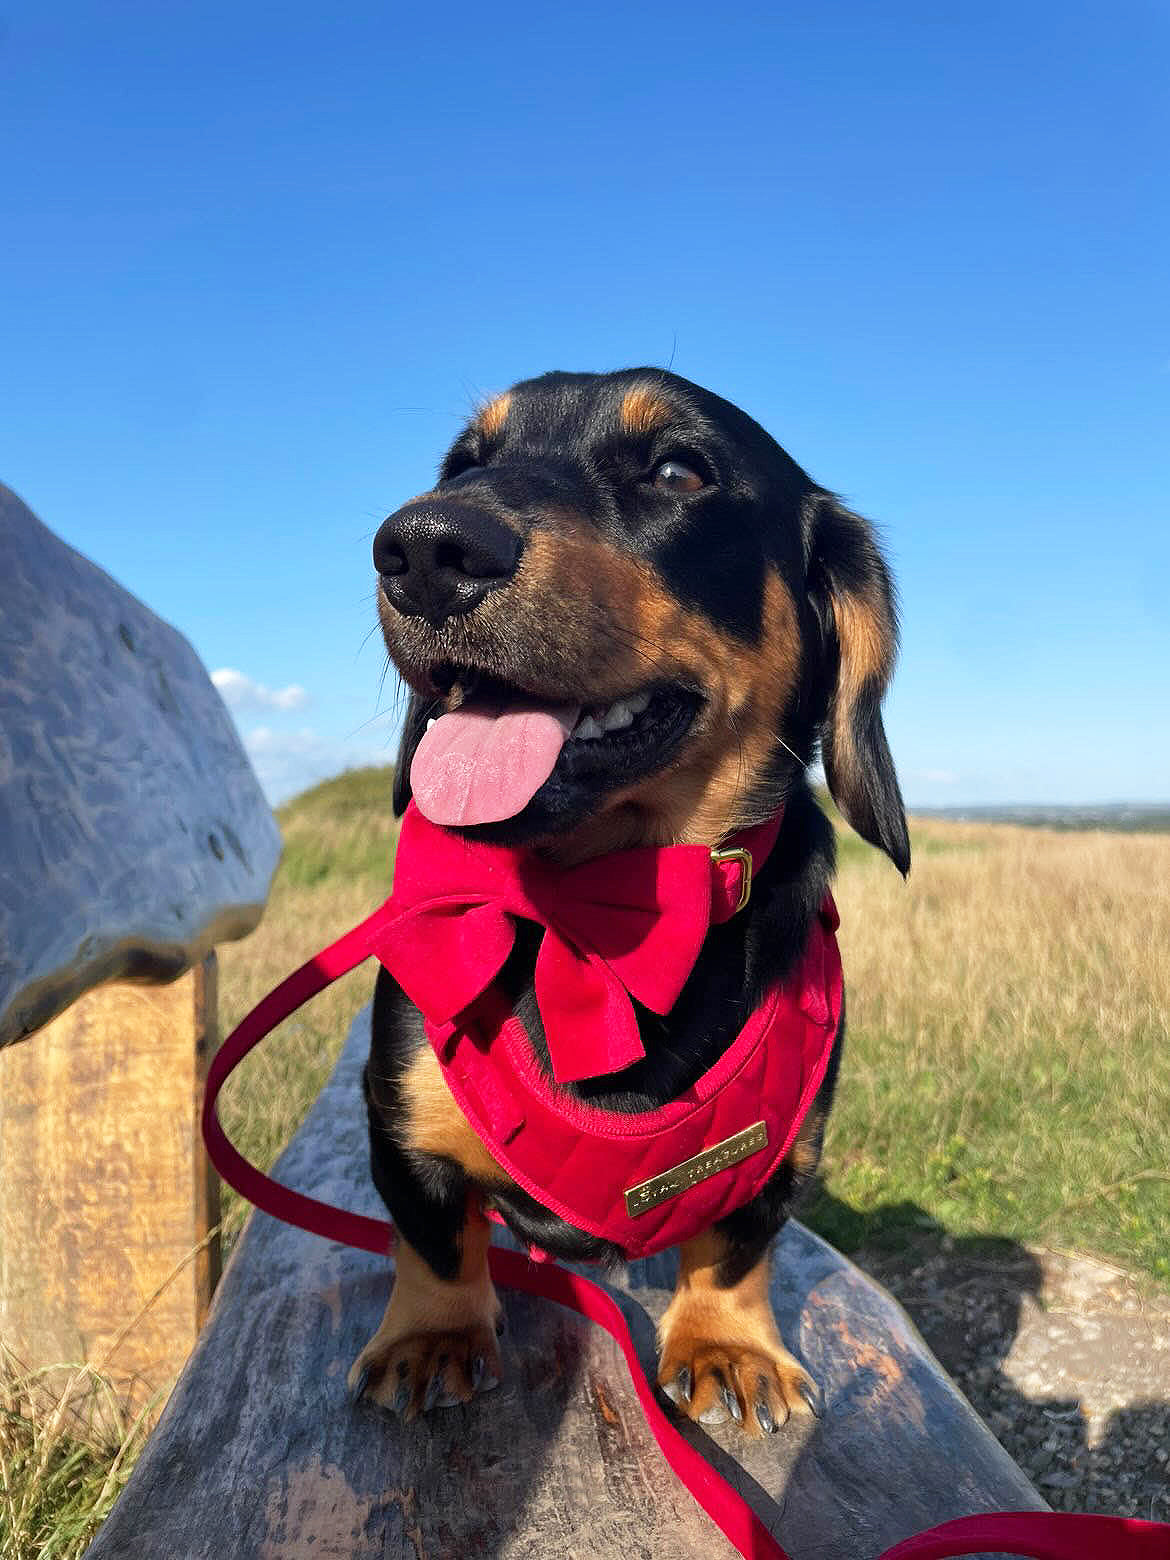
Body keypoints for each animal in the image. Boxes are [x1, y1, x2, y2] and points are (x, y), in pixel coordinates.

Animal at [351, 368, 917, 1435]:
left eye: (677, 471)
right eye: (463, 465)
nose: (425, 550)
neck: (597, 907)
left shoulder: (781, 1155)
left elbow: (736, 1252)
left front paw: (730, 1346)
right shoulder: (400, 1123)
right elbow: (434, 1241)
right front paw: (431, 1335)